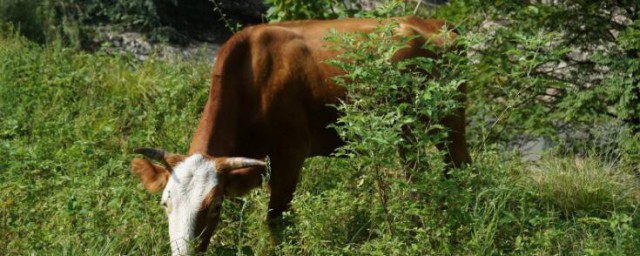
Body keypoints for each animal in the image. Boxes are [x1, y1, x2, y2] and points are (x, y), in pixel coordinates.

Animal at [130, 16, 470, 254]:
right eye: (165, 203)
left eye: (214, 206)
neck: (251, 80)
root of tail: (435, 23)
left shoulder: (290, 155)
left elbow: (275, 220)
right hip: (410, 132)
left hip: (451, 122)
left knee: (459, 169)